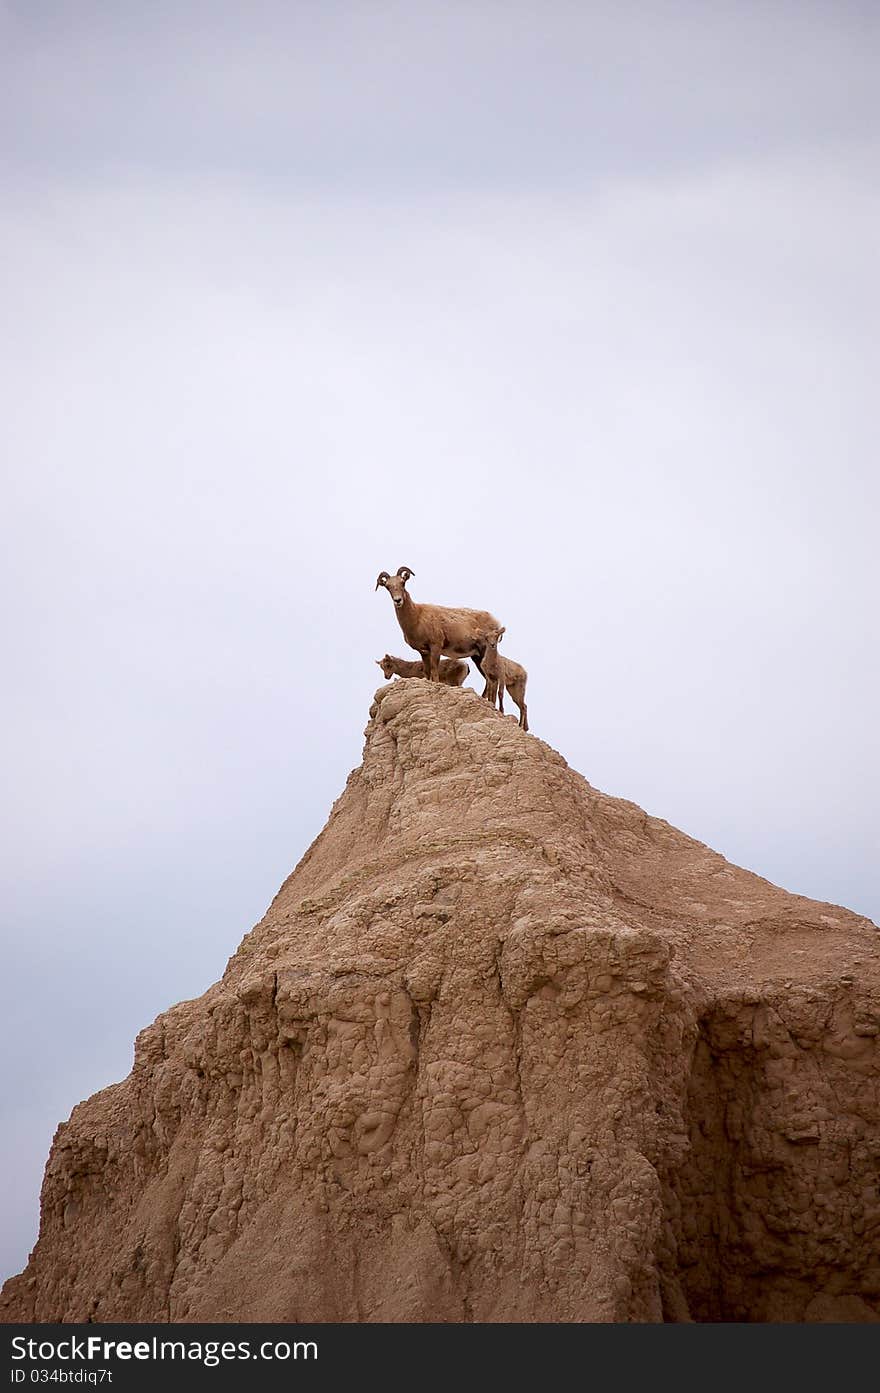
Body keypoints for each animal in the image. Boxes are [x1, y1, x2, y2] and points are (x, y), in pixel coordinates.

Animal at [375, 559, 504, 679]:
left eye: (403, 583)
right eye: (388, 587)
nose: (398, 600)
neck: (417, 617)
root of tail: (496, 622)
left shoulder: (436, 647)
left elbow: (434, 672)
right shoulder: (424, 652)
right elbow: (427, 673)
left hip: (484, 651)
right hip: (476, 656)